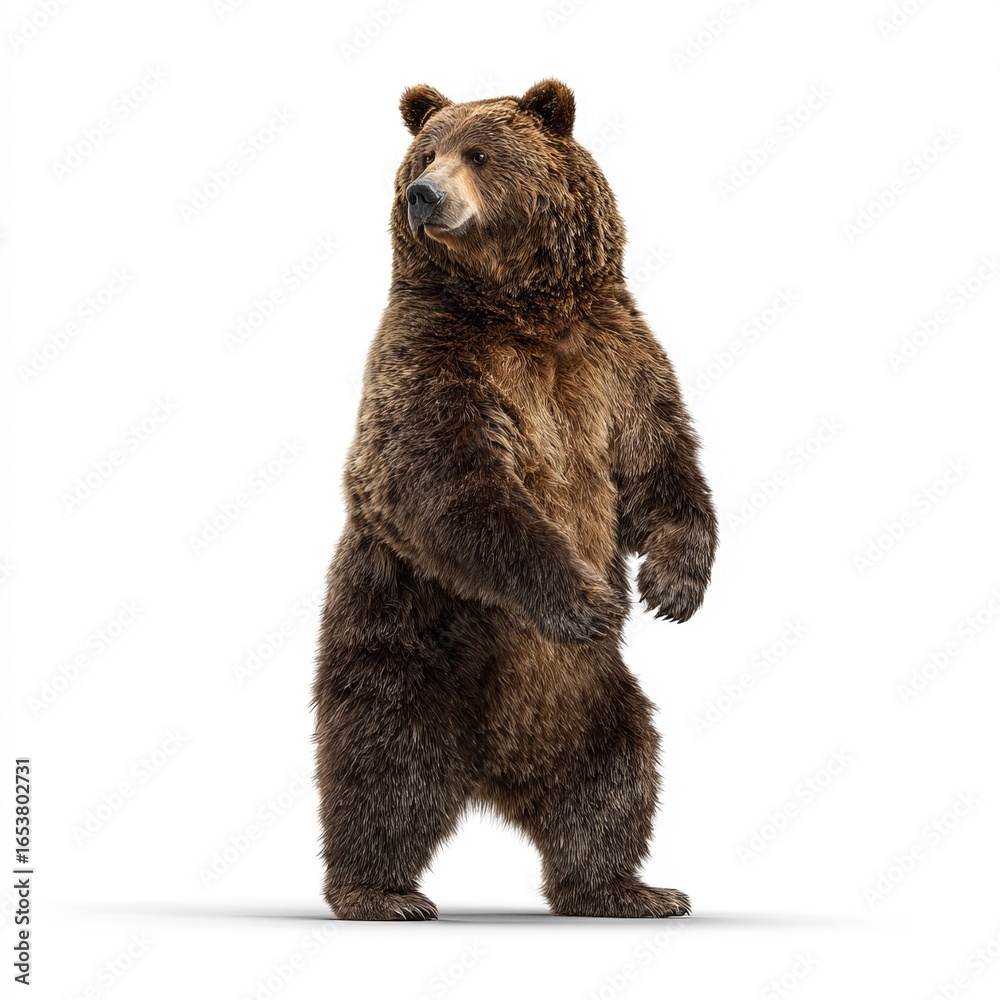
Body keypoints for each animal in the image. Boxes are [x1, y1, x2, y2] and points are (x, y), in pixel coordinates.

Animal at [312, 79, 718, 920]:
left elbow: (660, 460)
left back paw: (627, 887)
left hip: (590, 698)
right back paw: (381, 891)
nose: (423, 197)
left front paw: (672, 586)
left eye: (479, 152)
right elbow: (443, 477)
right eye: (425, 154)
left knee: (615, 775)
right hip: (405, 636)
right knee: (381, 766)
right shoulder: (433, 353)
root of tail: (490, 769)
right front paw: (586, 601)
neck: (522, 307)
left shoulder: (617, 354)